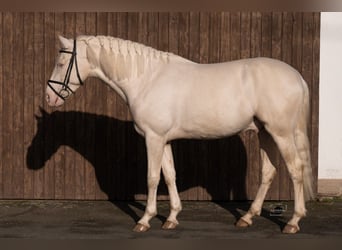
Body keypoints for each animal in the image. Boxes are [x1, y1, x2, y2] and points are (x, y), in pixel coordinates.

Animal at [46, 35, 316, 234]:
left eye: (60, 64)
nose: (49, 97)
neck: (147, 79)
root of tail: (297, 78)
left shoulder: (153, 138)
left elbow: (152, 178)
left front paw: (144, 220)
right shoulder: (163, 140)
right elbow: (170, 175)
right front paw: (172, 217)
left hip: (281, 133)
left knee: (296, 170)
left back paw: (293, 222)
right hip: (265, 133)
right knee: (268, 172)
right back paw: (247, 218)